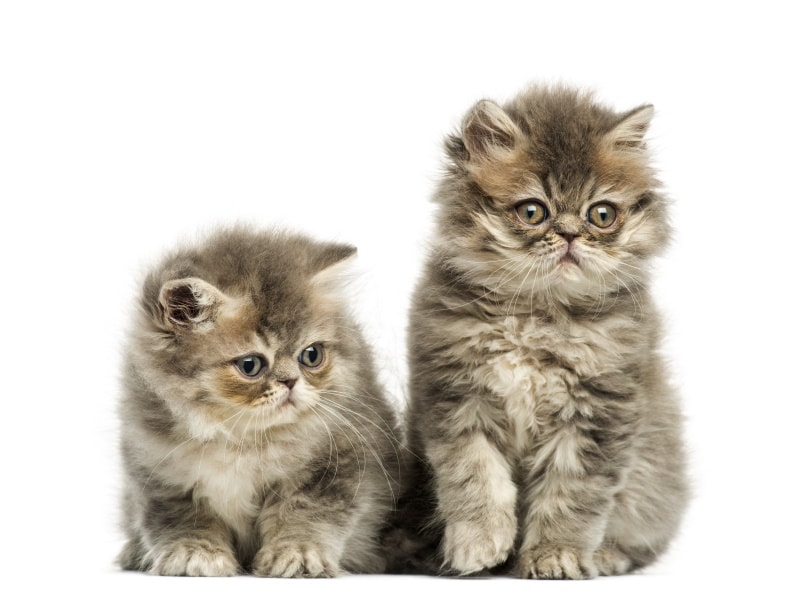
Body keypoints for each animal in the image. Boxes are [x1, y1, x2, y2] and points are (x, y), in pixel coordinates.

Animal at [117, 225, 400, 576]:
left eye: (311, 355)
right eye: (250, 365)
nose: (290, 382)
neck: (243, 440)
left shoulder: (337, 465)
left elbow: (305, 516)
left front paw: (298, 554)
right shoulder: (159, 473)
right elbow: (184, 521)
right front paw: (194, 554)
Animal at [400, 84, 688, 576]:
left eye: (601, 215)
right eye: (532, 211)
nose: (570, 235)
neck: (536, 316)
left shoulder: (597, 412)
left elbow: (571, 495)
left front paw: (557, 555)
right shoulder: (458, 397)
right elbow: (475, 477)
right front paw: (479, 543)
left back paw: (604, 555)